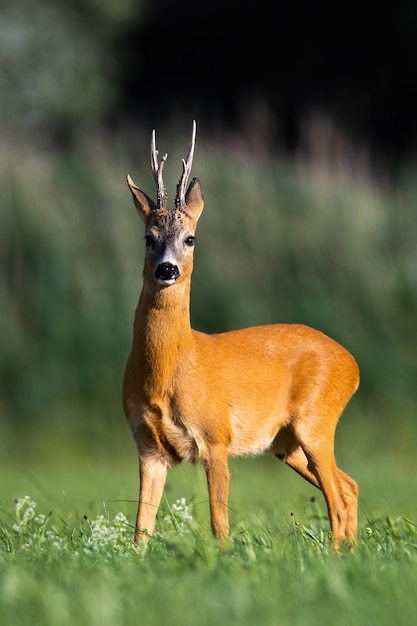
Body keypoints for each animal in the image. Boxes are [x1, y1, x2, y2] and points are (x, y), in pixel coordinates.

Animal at [122, 119, 360, 548]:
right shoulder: (147, 447)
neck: (168, 371)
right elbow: (141, 528)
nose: (167, 269)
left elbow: (219, 521)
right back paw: (351, 551)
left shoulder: (216, 435)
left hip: (316, 421)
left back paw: (336, 554)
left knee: (337, 496)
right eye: (148, 238)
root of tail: (354, 366)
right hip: (286, 442)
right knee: (348, 486)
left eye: (190, 238)